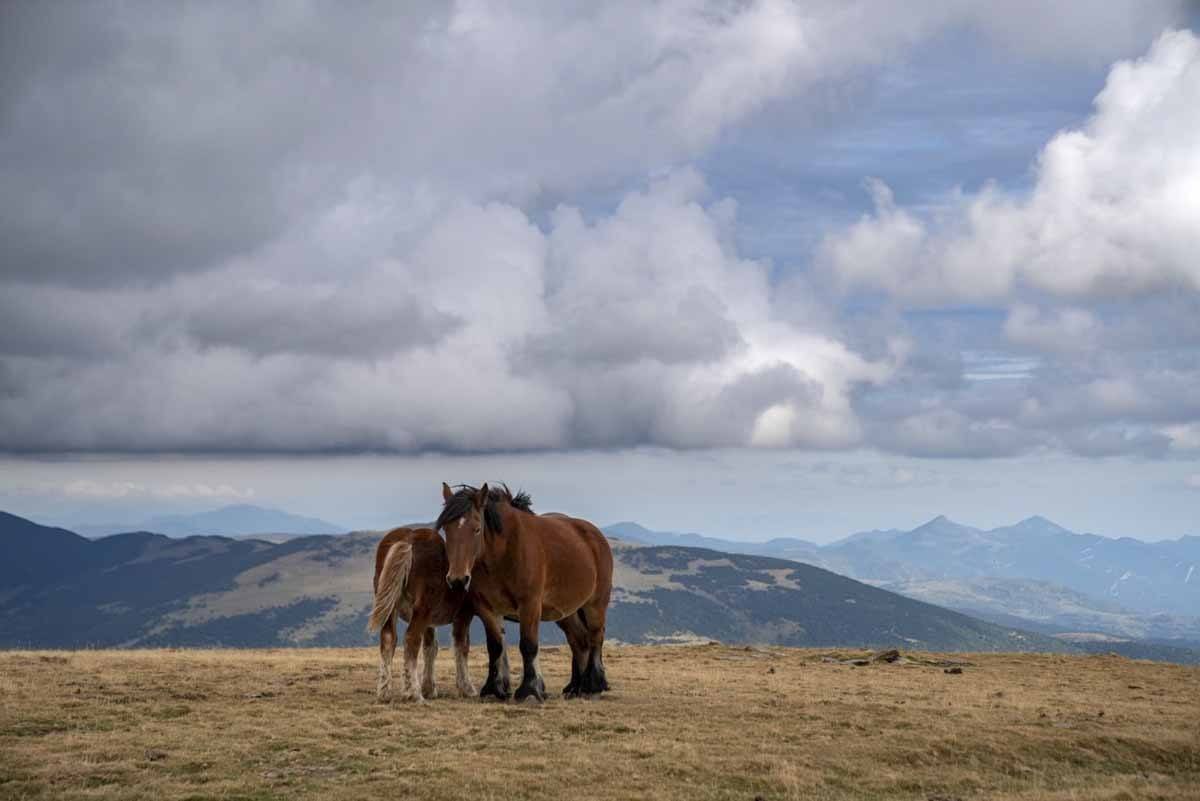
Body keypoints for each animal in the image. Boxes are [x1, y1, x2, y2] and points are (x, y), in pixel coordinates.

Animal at [362, 527, 508, 705]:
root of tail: (407, 540)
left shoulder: (429, 621)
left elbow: (430, 648)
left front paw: (429, 688)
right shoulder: (463, 615)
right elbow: (461, 646)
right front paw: (466, 688)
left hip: (393, 609)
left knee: (388, 639)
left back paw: (385, 692)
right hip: (421, 609)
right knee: (411, 639)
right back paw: (413, 693)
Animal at [436, 482, 614, 700]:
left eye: (477, 529)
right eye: (447, 530)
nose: (458, 579)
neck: (503, 553)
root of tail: (595, 535)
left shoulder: (529, 605)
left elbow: (528, 645)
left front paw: (529, 691)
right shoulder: (487, 608)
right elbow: (495, 647)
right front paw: (493, 689)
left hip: (595, 604)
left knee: (596, 636)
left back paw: (593, 686)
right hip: (566, 613)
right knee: (580, 641)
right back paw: (576, 687)